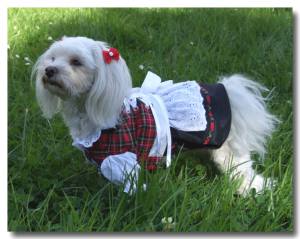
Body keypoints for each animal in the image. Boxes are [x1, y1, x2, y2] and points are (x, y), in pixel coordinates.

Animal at [33, 36, 278, 196]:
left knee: (245, 173)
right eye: (52, 58)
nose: (49, 70)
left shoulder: (121, 159)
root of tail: (229, 95)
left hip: (230, 155)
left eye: (76, 62)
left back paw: (254, 189)